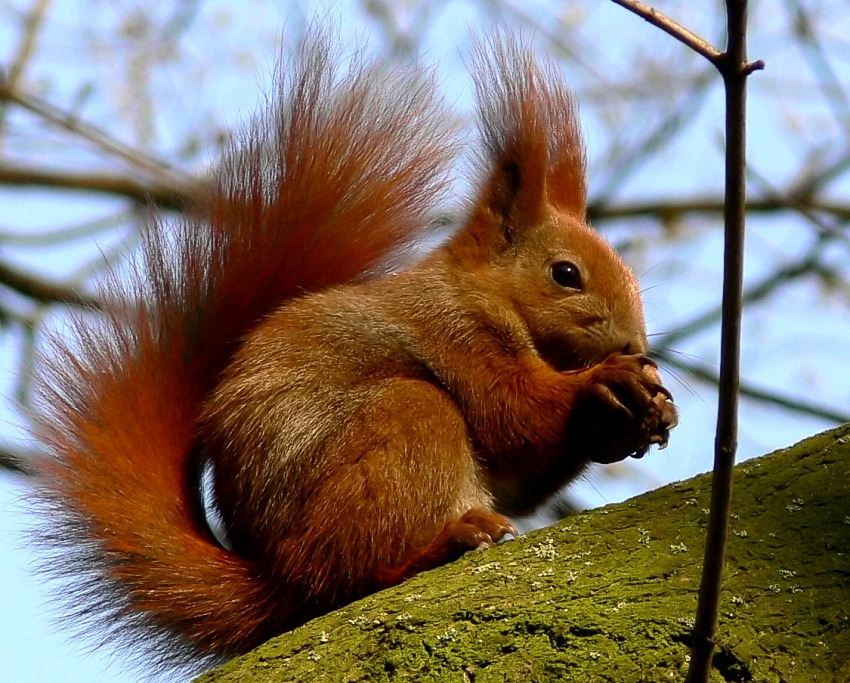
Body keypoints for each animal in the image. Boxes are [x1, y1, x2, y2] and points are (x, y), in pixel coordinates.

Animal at [33, 30, 676, 672]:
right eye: (565, 274)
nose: (633, 345)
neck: (479, 293)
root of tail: (276, 576)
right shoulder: (454, 335)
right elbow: (512, 417)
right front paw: (605, 383)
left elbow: (523, 473)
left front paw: (647, 412)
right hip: (402, 427)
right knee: (346, 576)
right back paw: (441, 547)